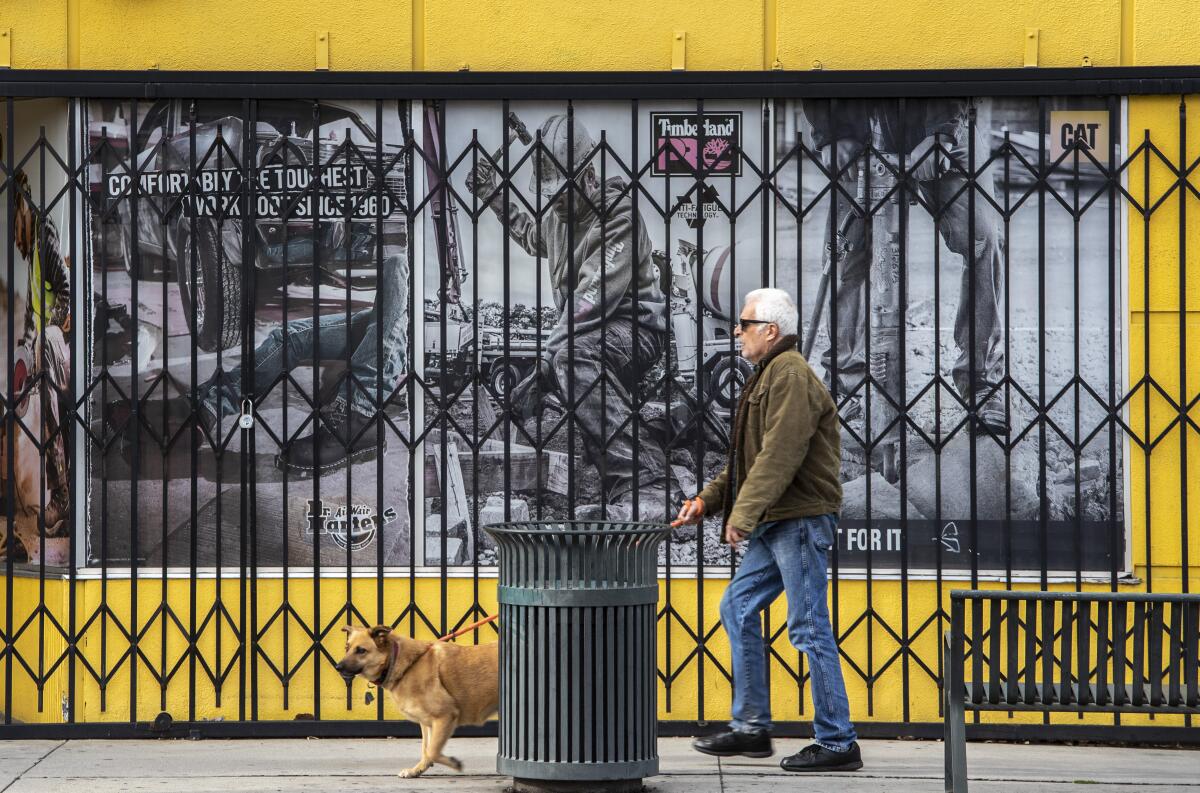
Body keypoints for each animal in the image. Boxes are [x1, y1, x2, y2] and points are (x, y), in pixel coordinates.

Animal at [338, 623, 496, 777]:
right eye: (347, 648)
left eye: (361, 650)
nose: (338, 667)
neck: (400, 663)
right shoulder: (428, 722)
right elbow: (426, 749)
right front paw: (417, 770)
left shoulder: (445, 716)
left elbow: (432, 751)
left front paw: (453, 763)